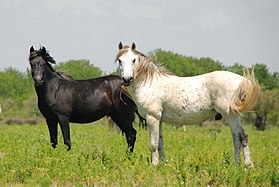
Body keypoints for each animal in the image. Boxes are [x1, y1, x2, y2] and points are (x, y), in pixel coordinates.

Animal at [115, 42, 262, 167]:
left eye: (134, 60)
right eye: (120, 60)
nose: (127, 79)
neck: (150, 83)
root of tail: (242, 80)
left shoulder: (152, 118)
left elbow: (153, 144)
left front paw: (154, 165)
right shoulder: (159, 120)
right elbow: (161, 143)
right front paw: (163, 164)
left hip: (231, 116)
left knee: (242, 137)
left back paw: (247, 165)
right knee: (237, 138)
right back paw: (237, 165)